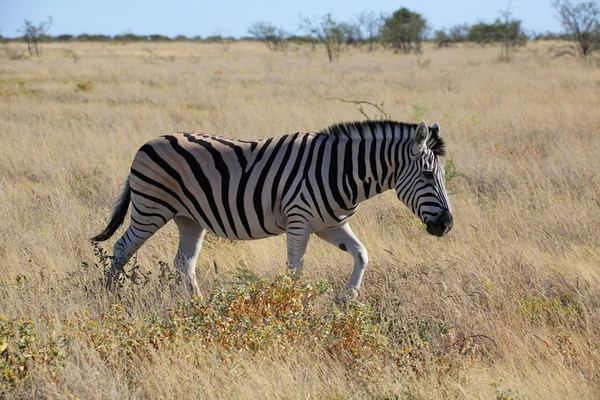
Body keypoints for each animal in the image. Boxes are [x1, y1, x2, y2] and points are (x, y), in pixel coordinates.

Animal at [91, 120, 452, 298]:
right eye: (427, 175)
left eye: (443, 176)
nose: (447, 225)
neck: (341, 171)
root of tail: (147, 143)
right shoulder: (300, 221)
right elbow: (295, 270)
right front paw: (293, 310)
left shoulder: (329, 225)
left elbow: (362, 254)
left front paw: (346, 299)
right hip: (151, 207)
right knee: (122, 248)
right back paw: (110, 298)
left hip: (188, 218)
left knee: (184, 263)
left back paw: (199, 305)